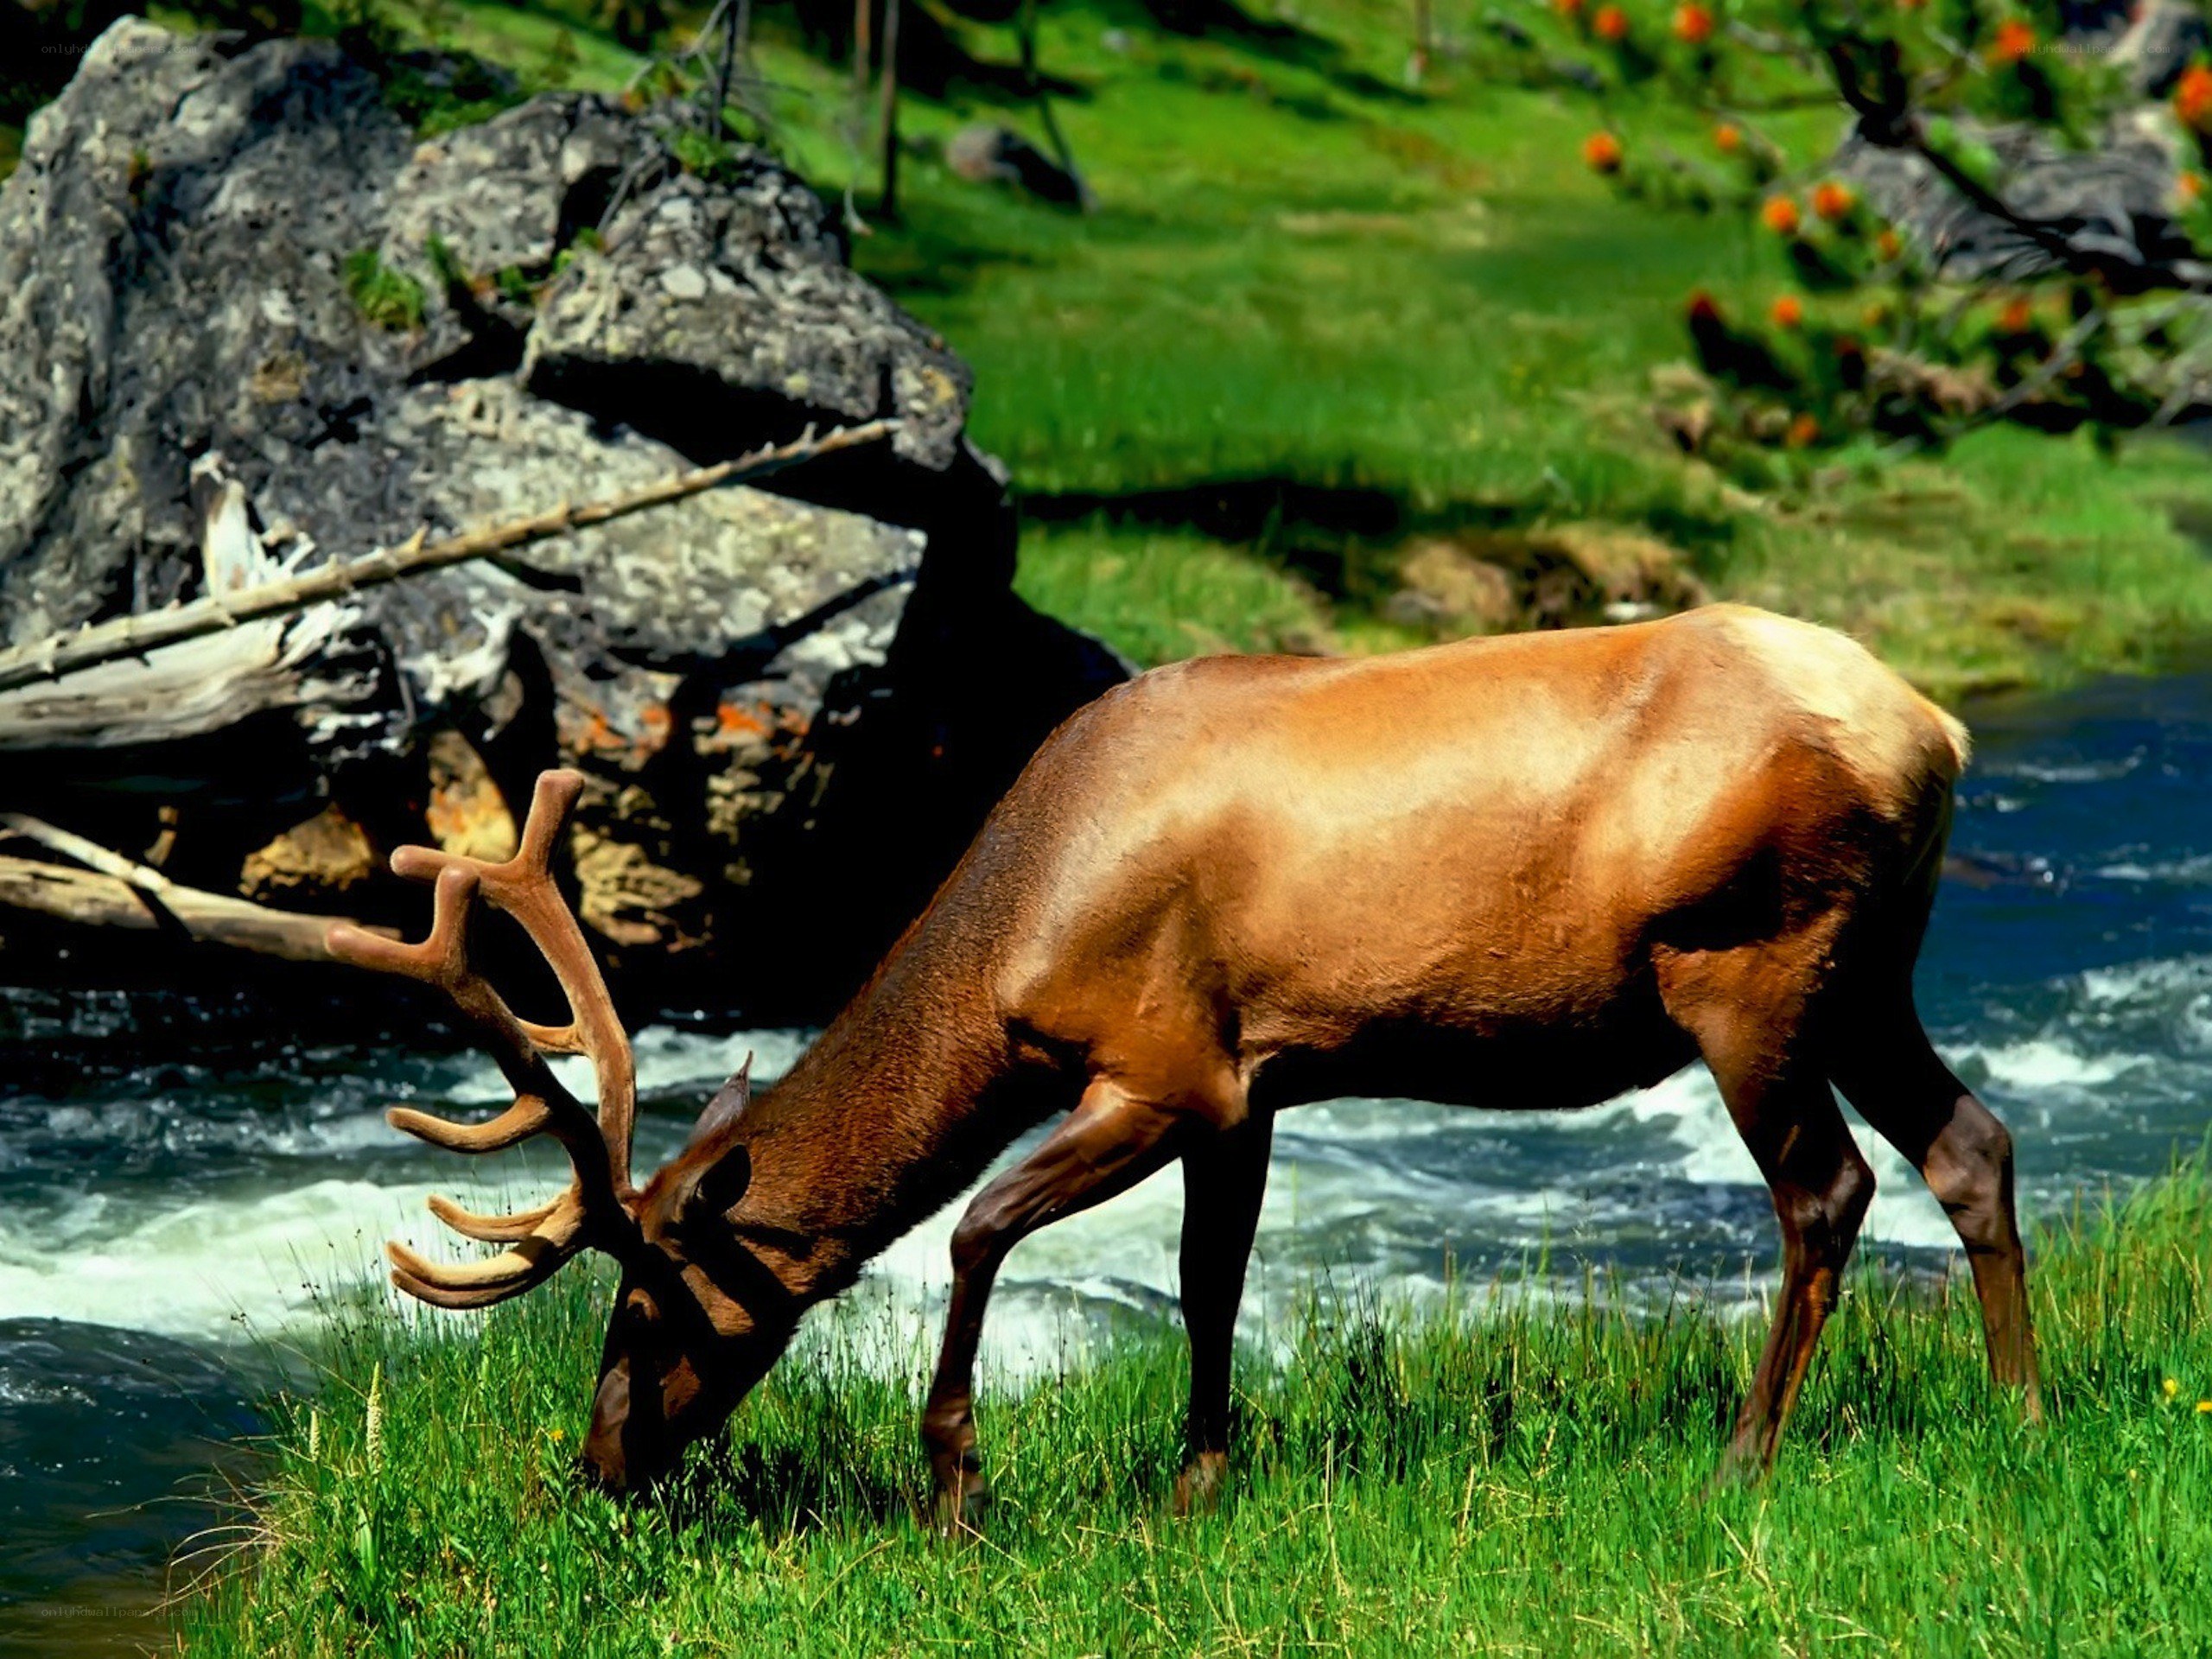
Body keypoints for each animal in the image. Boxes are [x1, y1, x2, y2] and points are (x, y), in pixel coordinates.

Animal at [327, 602, 2042, 1526]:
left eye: (644, 1306)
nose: (597, 1465)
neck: (1014, 940)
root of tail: (1937, 730)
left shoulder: (1162, 1067)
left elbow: (973, 1231)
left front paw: (955, 1489)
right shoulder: (1257, 1079)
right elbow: (1213, 1281)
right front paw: (1200, 1480)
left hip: (1752, 966)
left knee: (1828, 1190)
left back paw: (1746, 1454)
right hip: (1866, 974)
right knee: (1973, 1144)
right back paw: (2023, 1407)